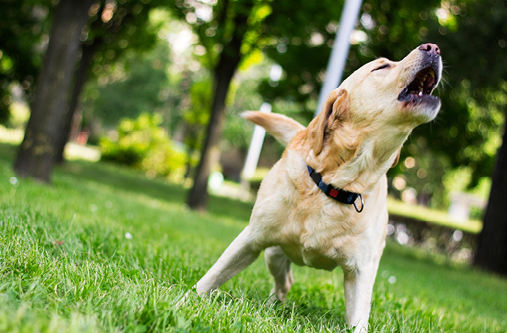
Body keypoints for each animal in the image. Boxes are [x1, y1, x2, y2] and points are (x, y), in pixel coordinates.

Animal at [196, 44, 442, 332]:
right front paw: (187, 299)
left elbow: (358, 320)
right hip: (273, 254)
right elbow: (210, 278)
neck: (335, 185)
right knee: (283, 281)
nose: (433, 47)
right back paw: (272, 304)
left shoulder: (361, 271)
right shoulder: (251, 238)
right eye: (381, 67)